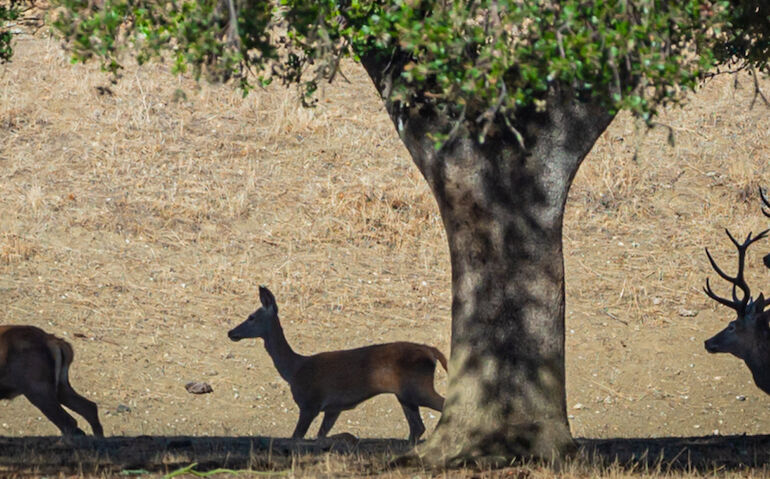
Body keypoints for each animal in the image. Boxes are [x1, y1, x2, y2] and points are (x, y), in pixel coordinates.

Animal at [225, 286, 448, 444]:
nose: (230, 332)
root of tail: (431, 351)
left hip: (417, 387)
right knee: (417, 428)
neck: (294, 370)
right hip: (404, 394)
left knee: (441, 407)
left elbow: (296, 436)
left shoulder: (310, 403)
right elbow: (320, 435)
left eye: (251, 317)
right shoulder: (333, 408)